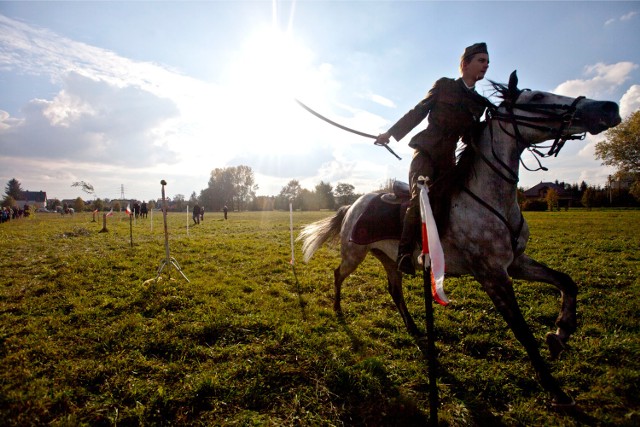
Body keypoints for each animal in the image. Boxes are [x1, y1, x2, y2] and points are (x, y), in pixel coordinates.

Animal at [298, 71, 620, 408]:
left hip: (388, 259)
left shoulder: (515, 264)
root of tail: (353, 204)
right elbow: (522, 330)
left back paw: (414, 328)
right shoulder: (492, 275)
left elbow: (566, 282)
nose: (609, 108)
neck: (488, 198)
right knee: (338, 274)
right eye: (537, 98)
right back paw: (337, 309)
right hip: (354, 254)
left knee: (394, 290)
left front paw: (560, 334)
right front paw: (554, 386)